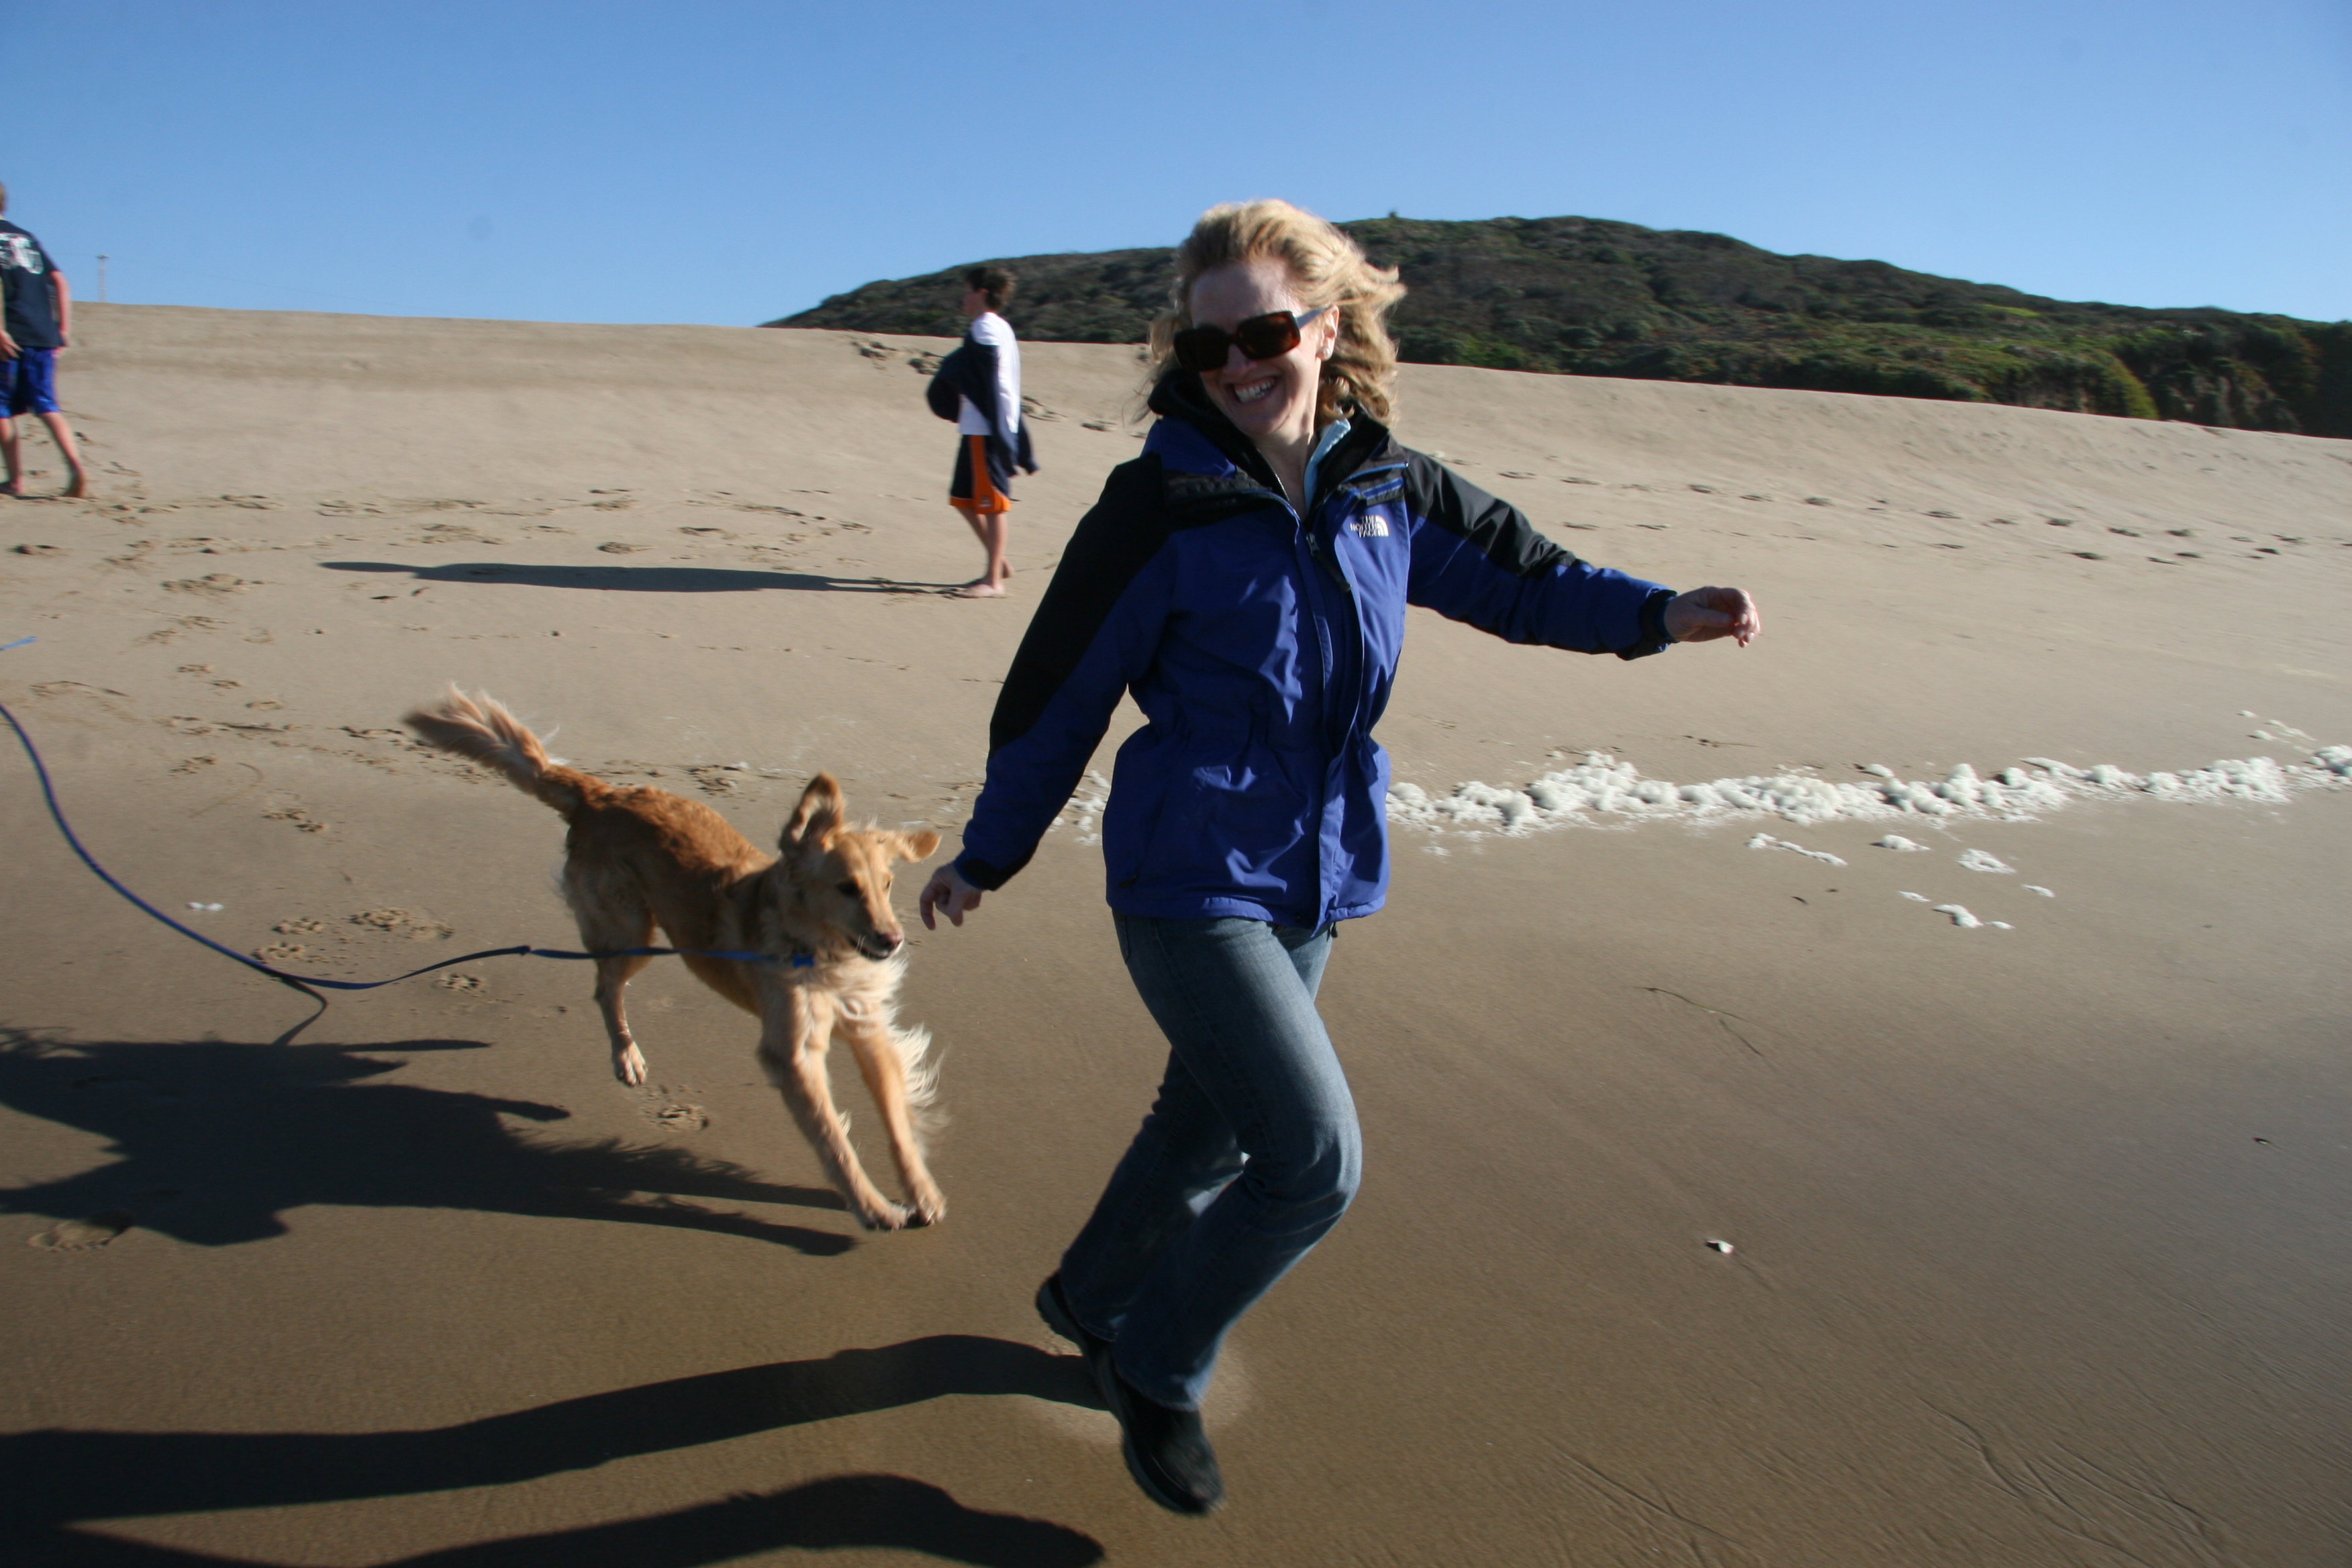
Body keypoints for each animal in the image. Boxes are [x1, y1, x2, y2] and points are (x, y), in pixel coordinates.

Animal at [404, 688, 947, 1230]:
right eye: (846, 888)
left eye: (887, 885)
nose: (893, 940)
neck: (817, 951)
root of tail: (602, 796)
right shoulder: (793, 1055)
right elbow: (834, 1140)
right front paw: (872, 1207)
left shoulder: (868, 1029)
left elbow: (897, 1122)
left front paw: (921, 1191)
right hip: (630, 931)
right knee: (604, 989)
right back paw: (626, 1057)